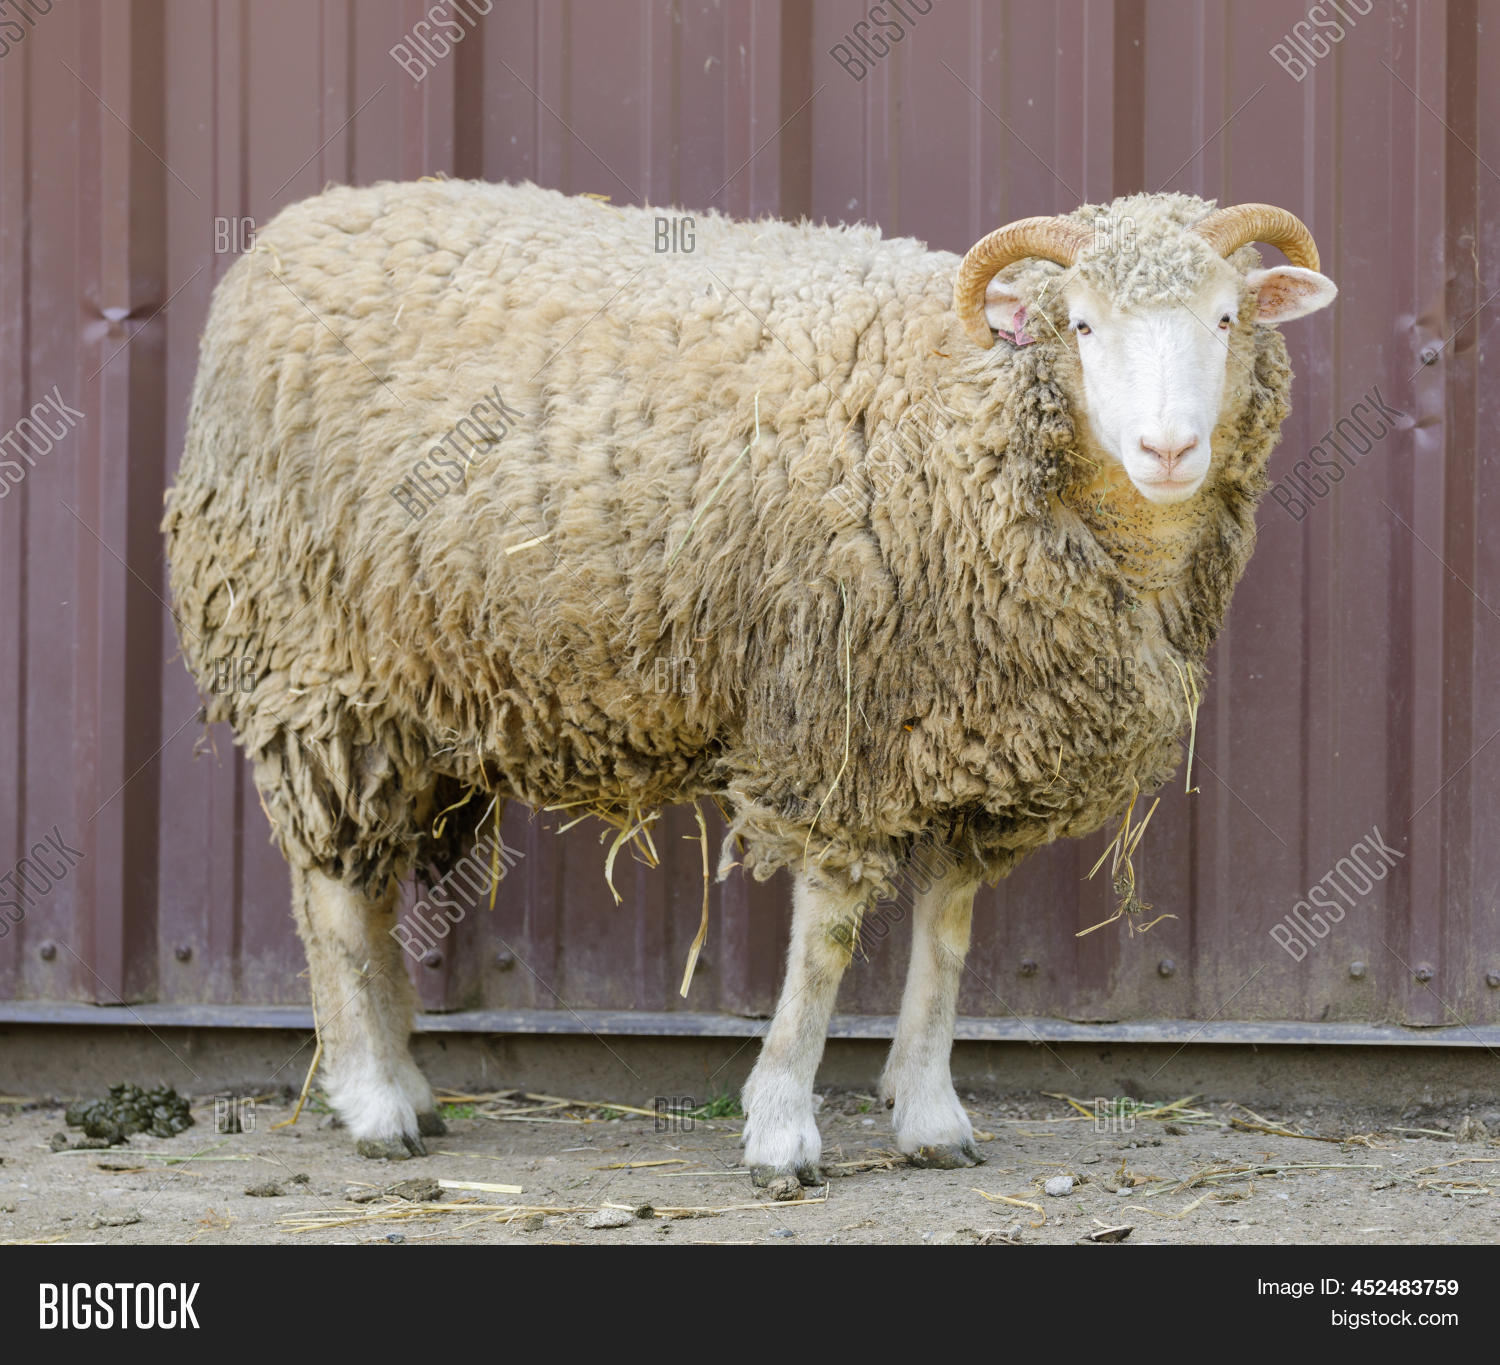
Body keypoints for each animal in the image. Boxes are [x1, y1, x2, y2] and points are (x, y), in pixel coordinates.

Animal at [163, 181, 1336, 1174]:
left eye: (1227, 319)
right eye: (1082, 326)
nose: (1169, 449)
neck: (966, 414)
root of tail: (293, 231)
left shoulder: (967, 730)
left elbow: (948, 933)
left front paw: (931, 1115)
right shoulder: (837, 716)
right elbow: (825, 940)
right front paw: (780, 1127)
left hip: (409, 692)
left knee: (365, 885)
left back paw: (408, 1081)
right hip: (312, 663)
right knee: (328, 893)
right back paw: (372, 1103)